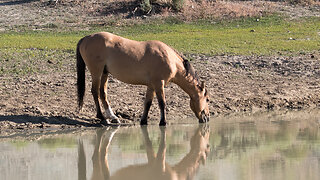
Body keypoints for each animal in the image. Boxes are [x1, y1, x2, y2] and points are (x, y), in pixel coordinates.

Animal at [76, 32, 211, 125]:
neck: (170, 59)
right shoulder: (159, 83)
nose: (207, 117)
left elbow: (148, 103)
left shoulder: (151, 85)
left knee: (102, 93)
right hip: (97, 72)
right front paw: (163, 122)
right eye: (208, 99)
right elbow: (162, 103)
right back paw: (101, 117)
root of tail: (86, 38)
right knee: (95, 92)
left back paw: (112, 117)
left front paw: (144, 121)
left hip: (105, 73)